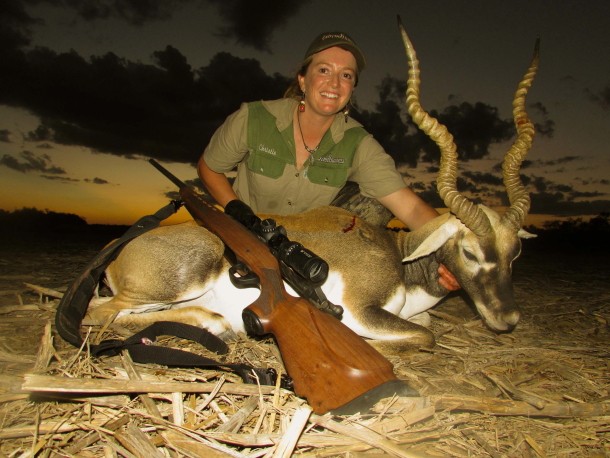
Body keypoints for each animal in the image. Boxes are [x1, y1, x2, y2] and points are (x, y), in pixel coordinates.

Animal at [84, 23, 536, 352]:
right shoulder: (361, 310)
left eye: (515, 253)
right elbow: (426, 336)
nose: (509, 319)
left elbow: (424, 324)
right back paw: (214, 323)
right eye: (469, 252)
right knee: (97, 310)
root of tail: (114, 253)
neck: (399, 257)